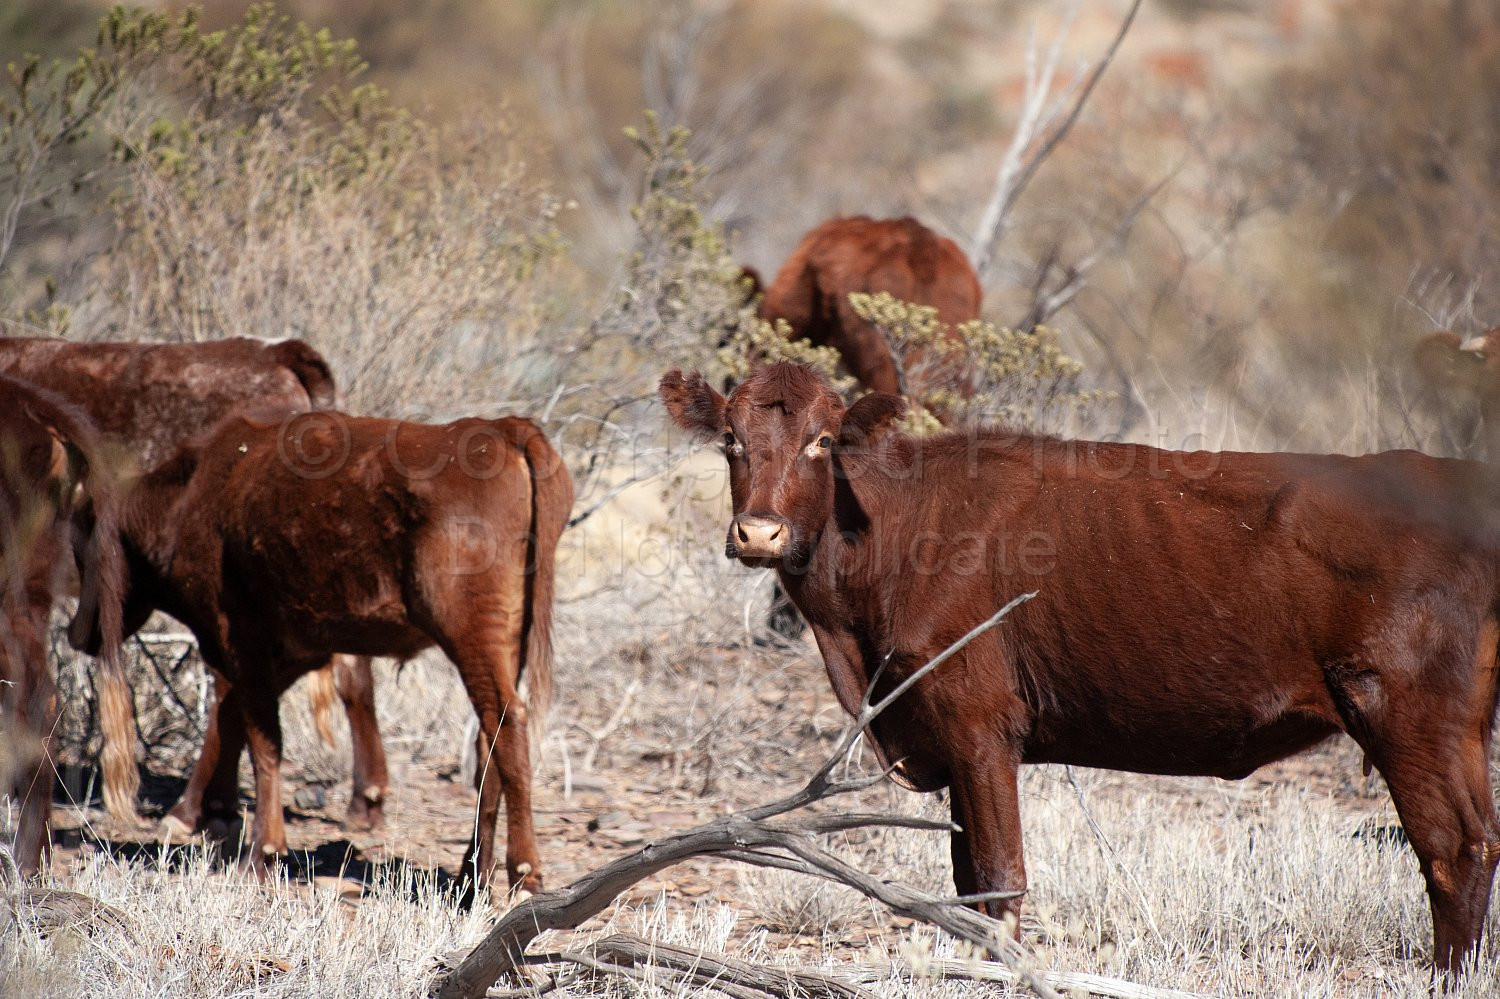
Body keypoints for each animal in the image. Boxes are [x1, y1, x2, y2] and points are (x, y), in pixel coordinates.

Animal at [68, 408, 572, 900]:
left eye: (78, 547)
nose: (76, 632)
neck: (191, 493)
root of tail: (504, 429)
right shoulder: (295, 646)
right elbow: (232, 719)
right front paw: (205, 816)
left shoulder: (241, 635)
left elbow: (262, 740)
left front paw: (261, 852)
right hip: (506, 643)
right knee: (489, 742)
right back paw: (473, 873)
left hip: (472, 638)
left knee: (507, 724)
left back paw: (523, 876)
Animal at [661, 361, 1500, 975]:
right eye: (730, 437)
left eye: (824, 440)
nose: (759, 532)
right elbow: (966, 882)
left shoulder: (978, 723)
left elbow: (999, 874)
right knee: (1482, 841)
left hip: (1405, 711)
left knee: (1452, 849)